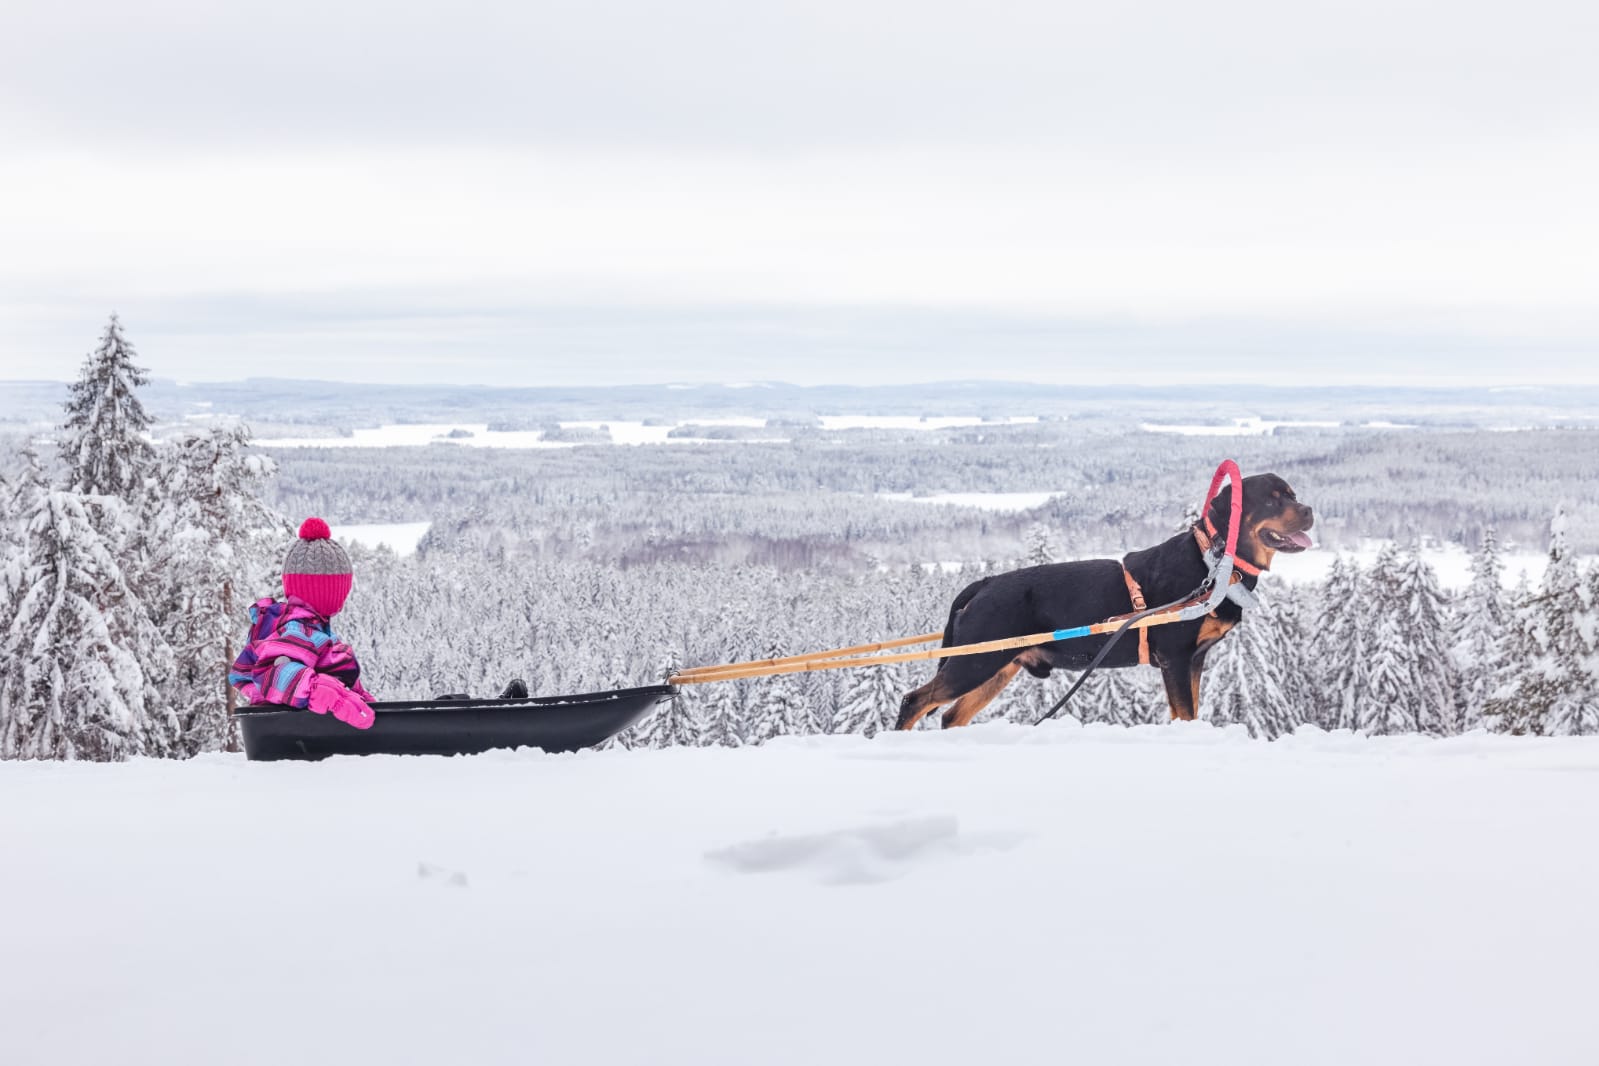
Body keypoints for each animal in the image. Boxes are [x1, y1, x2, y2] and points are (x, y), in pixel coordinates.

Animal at [895, 476, 1317, 735]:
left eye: (1293, 495)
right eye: (1272, 499)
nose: (1310, 510)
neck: (1213, 563)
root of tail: (984, 584)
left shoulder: (1195, 659)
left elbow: (1190, 710)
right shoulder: (1176, 657)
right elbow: (1185, 712)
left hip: (998, 667)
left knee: (951, 716)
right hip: (976, 661)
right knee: (914, 700)